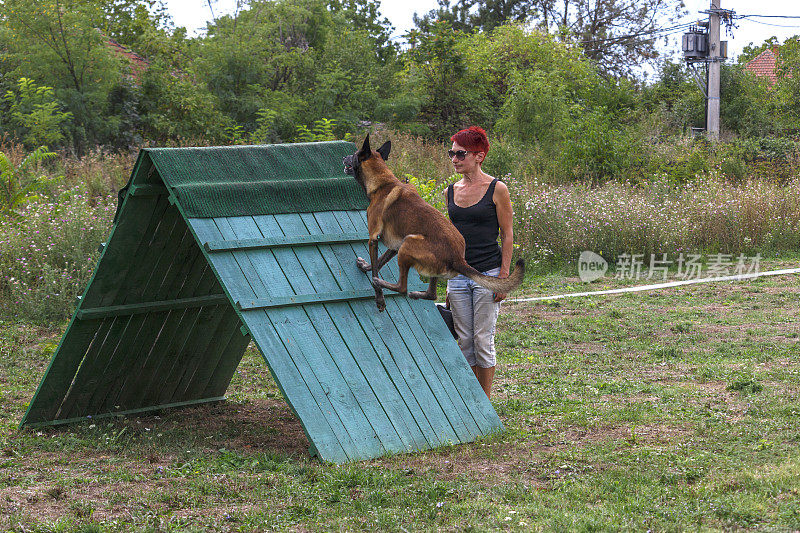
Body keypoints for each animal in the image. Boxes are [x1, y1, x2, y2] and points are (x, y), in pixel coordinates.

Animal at [342, 134, 524, 312]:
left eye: (353, 155)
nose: (344, 157)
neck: (382, 182)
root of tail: (458, 258)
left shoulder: (373, 238)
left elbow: (375, 267)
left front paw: (379, 297)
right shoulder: (394, 246)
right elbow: (378, 262)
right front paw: (365, 266)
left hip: (408, 242)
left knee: (402, 287)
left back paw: (381, 282)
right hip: (416, 256)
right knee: (432, 294)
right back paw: (417, 294)